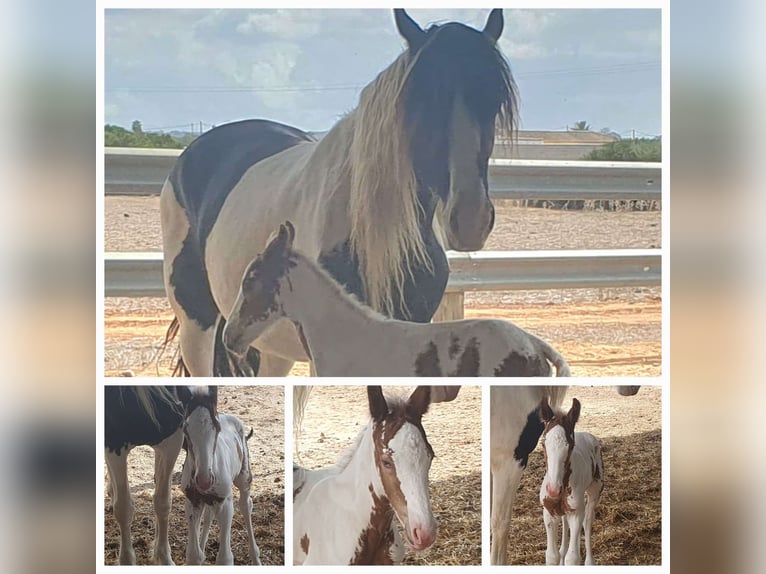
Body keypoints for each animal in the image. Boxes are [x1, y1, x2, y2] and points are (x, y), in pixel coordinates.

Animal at [180, 388, 264, 568]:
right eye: (185, 429)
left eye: (217, 428)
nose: (204, 480)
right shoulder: (192, 501)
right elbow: (193, 556)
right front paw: (200, 554)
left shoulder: (225, 503)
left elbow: (225, 559)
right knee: (209, 514)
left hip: (244, 478)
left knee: (246, 505)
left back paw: (255, 557)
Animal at [540, 398, 608, 564]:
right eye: (543, 443)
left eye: (570, 445)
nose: (553, 490)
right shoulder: (549, 513)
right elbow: (551, 556)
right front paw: (559, 557)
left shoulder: (576, 513)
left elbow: (573, 558)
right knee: (566, 524)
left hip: (594, 491)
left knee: (587, 521)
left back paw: (589, 562)